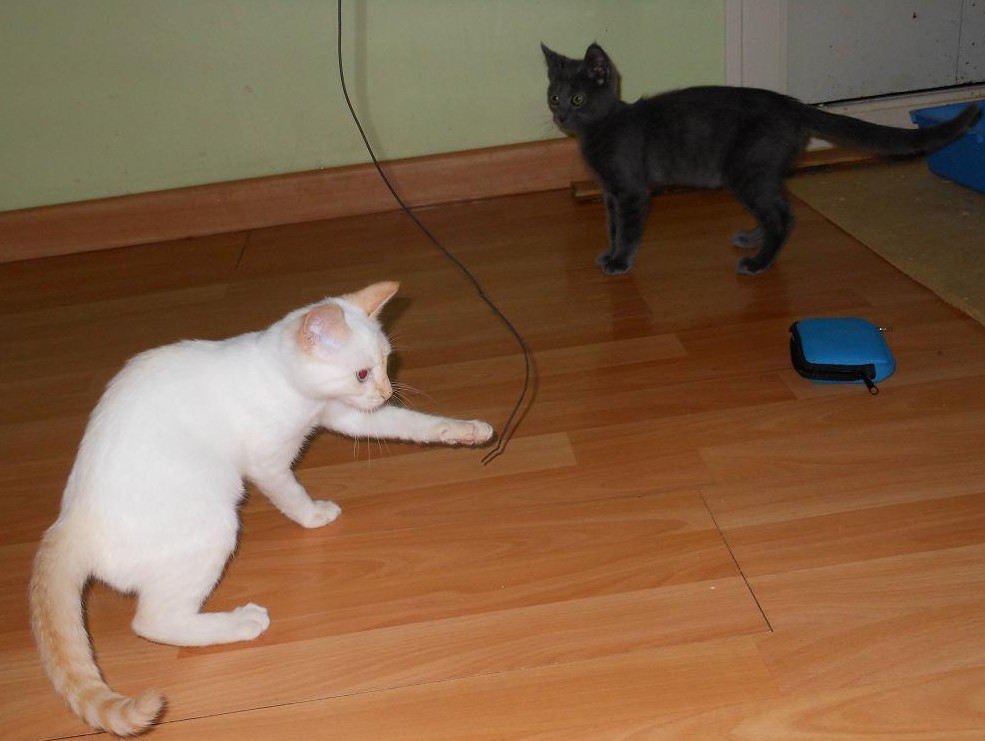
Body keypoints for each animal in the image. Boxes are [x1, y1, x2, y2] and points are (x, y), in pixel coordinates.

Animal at [30, 281, 494, 737]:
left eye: (386, 364)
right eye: (362, 373)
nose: (383, 391)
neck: (290, 386)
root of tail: (69, 521)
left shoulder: (346, 414)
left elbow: (412, 423)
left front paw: (467, 431)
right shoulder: (268, 462)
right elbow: (290, 493)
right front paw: (314, 516)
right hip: (216, 524)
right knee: (152, 621)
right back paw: (240, 624)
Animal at [542, 43, 982, 276]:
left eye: (578, 99)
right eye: (554, 96)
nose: (560, 116)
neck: (603, 128)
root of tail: (794, 105)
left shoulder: (630, 191)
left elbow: (629, 229)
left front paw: (620, 261)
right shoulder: (610, 194)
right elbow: (612, 226)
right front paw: (609, 251)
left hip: (746, 170)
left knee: (782, 216)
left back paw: (759, 263)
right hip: (762, 171)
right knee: (780, 210)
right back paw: (755, 240)